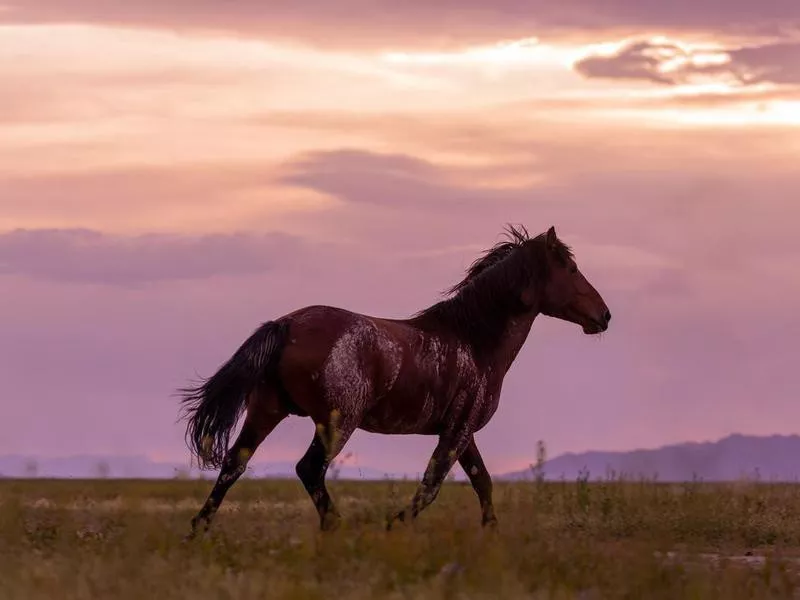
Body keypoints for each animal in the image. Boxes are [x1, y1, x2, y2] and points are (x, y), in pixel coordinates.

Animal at [177, 226, 612, 540]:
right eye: (571, 269)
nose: (604, 315)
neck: (474, 341)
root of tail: (286, 324)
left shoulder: (462, 431)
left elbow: (482, 482)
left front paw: (492, 533)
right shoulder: (457, 431)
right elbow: (433, 484)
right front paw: (395, 523)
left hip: (267, 410)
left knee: (234, 464)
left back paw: (198, 530)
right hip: (337, 423)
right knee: (308, 468)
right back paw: (336, 528)